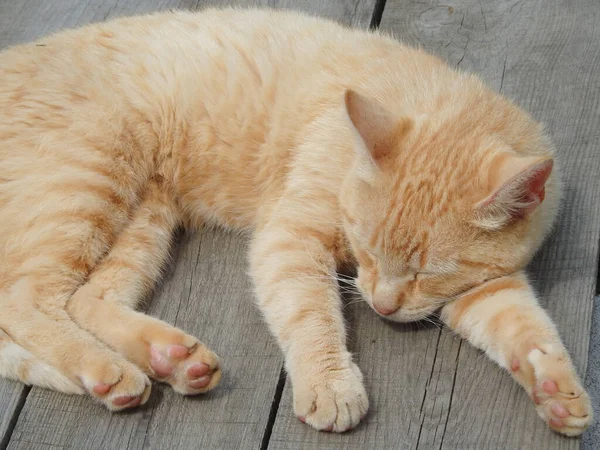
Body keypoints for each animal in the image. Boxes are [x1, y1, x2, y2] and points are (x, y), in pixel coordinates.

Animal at [0, 7, 592, 436]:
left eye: (429, 274)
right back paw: (108, 370)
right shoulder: (289, 236)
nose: (382, 306)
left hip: (141, 220)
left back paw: (169, 359)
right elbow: (311, 314)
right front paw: (331, 386)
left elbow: (528, 329)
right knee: (27, 300)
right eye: (366, 248)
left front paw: (558, 392)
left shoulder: (489, 285)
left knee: (83, 299)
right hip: (87, 184)